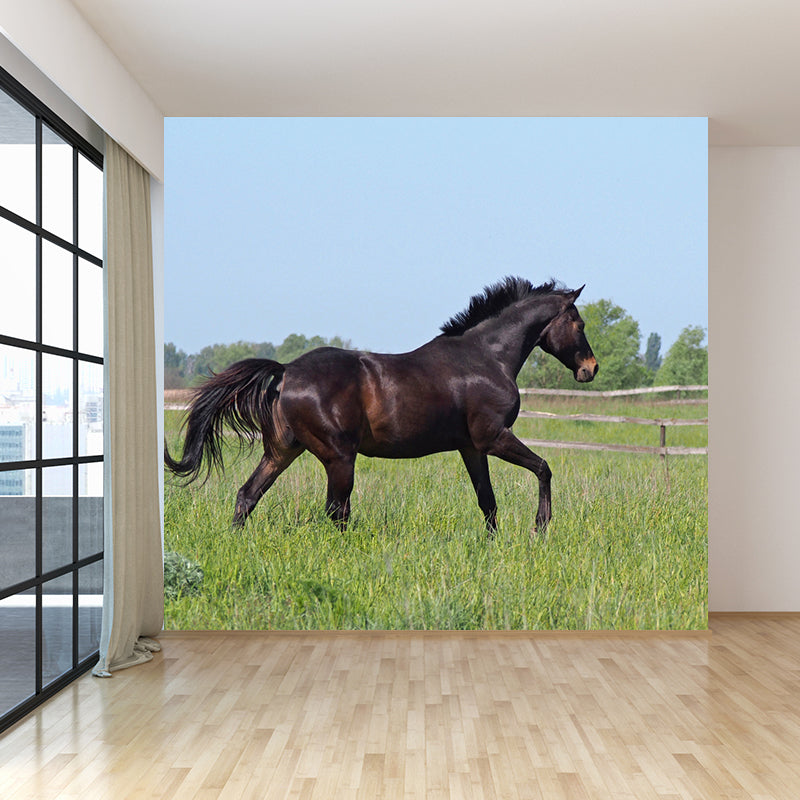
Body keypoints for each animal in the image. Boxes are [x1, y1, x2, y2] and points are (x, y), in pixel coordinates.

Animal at [165, 277, 598, 533]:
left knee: (248, 495)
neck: (486, 357)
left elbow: (487, 502)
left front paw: (496, 544)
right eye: (579, 323)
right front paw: (541, 527)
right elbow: (543, 468)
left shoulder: (471, 447)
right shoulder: (493, 437)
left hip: (284, 450)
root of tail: (286, 371)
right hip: (339, 457)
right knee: (336, 510)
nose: (590, 369)